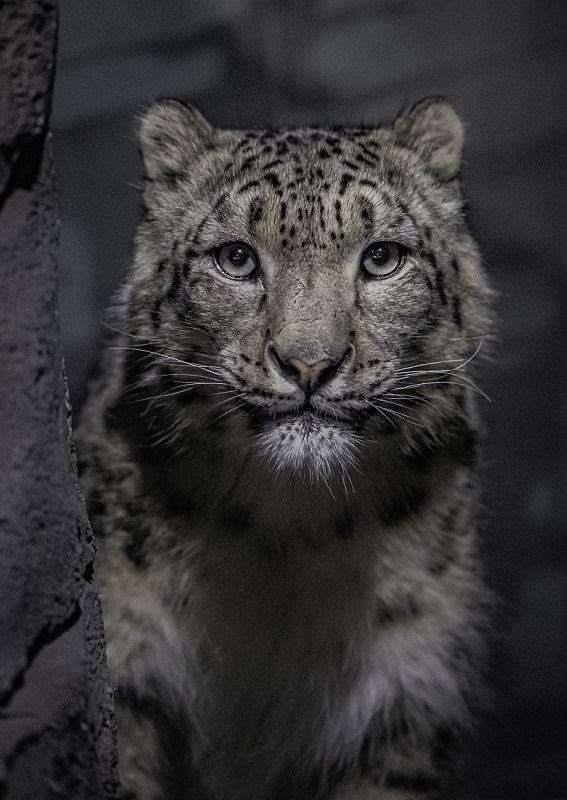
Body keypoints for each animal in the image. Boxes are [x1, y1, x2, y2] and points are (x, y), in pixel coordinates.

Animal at [77, 97, 494, 796]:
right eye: (237, 259)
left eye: (382, 257)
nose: (310, 364)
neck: (292, 534)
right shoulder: (129, 677)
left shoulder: (405, 698)